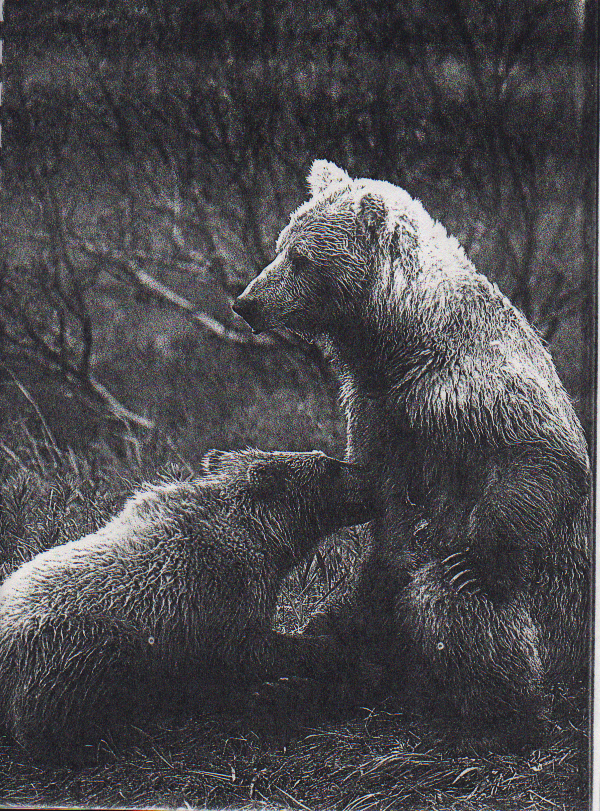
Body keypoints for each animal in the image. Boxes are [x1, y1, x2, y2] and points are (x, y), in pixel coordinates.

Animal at [0, 448, 373, 764]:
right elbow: (252, 652)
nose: (370, 474)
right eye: (328, 465)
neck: (261, 536)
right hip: (72, 644)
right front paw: (337, 651)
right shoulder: (217, 596)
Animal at [232, 161, 590, 742]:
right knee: (351, 610)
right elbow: (370, 485)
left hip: (555, 617)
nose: (246, 302)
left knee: (447, 604)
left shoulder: (470, 387)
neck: (400, 341)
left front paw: (478, 559)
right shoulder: (375, 405)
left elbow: (538, 452)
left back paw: (507, 714)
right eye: (282, 245)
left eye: (300, 257)